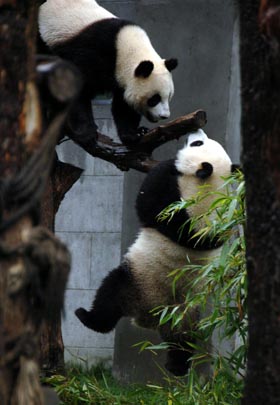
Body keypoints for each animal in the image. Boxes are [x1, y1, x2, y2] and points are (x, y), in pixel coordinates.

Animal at [37, 0, 177, 148]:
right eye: (154, 99)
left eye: (169, 96)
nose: (164, 116)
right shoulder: (94, 51)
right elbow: (79, 89)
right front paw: (87, 134)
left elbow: (124, 106)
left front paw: (135, 133)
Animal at [75, 130, 240, 376]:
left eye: (197, 143)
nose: (196, 132)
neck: (210, 189)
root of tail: (150, 317)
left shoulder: (180, 210)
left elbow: (149, 201)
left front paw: (169, 163)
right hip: (185, 313)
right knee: (184, 342)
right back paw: (177, 367)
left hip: (136, 280)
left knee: (108, 297)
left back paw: (86, 316)